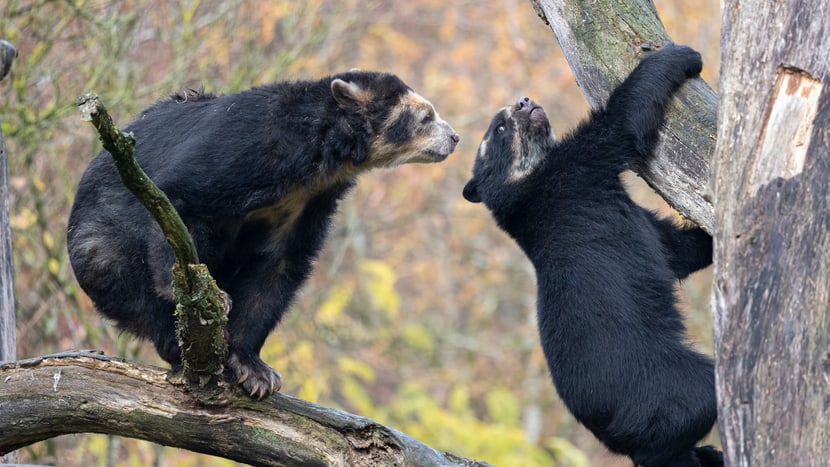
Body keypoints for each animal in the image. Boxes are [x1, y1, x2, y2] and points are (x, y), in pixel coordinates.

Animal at [67, 71, 462, 400]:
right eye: (426, 117)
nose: (455, 138)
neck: (320, 157)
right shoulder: (249, 148)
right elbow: (180, 196)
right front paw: (212, 299)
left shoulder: (307, 203)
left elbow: (277, 269)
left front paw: (255, 370)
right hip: (100, 245)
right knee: (134, 285)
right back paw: (179, 345)